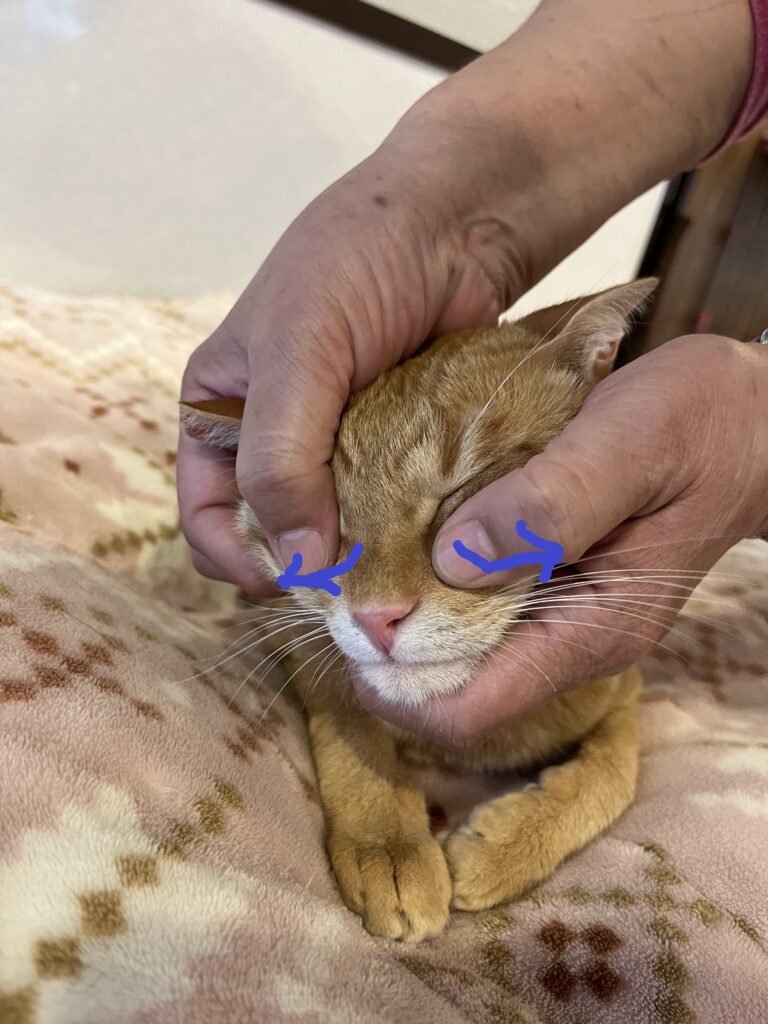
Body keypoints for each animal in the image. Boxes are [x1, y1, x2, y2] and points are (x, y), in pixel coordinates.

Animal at [181, 278, 655, 942]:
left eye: (466, 493)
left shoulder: (623, 683)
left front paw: (507, 846)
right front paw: (387, 842)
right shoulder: (289, 628)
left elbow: (615, 773)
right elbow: (350, 716)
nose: (377, 617)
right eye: (319, 530)